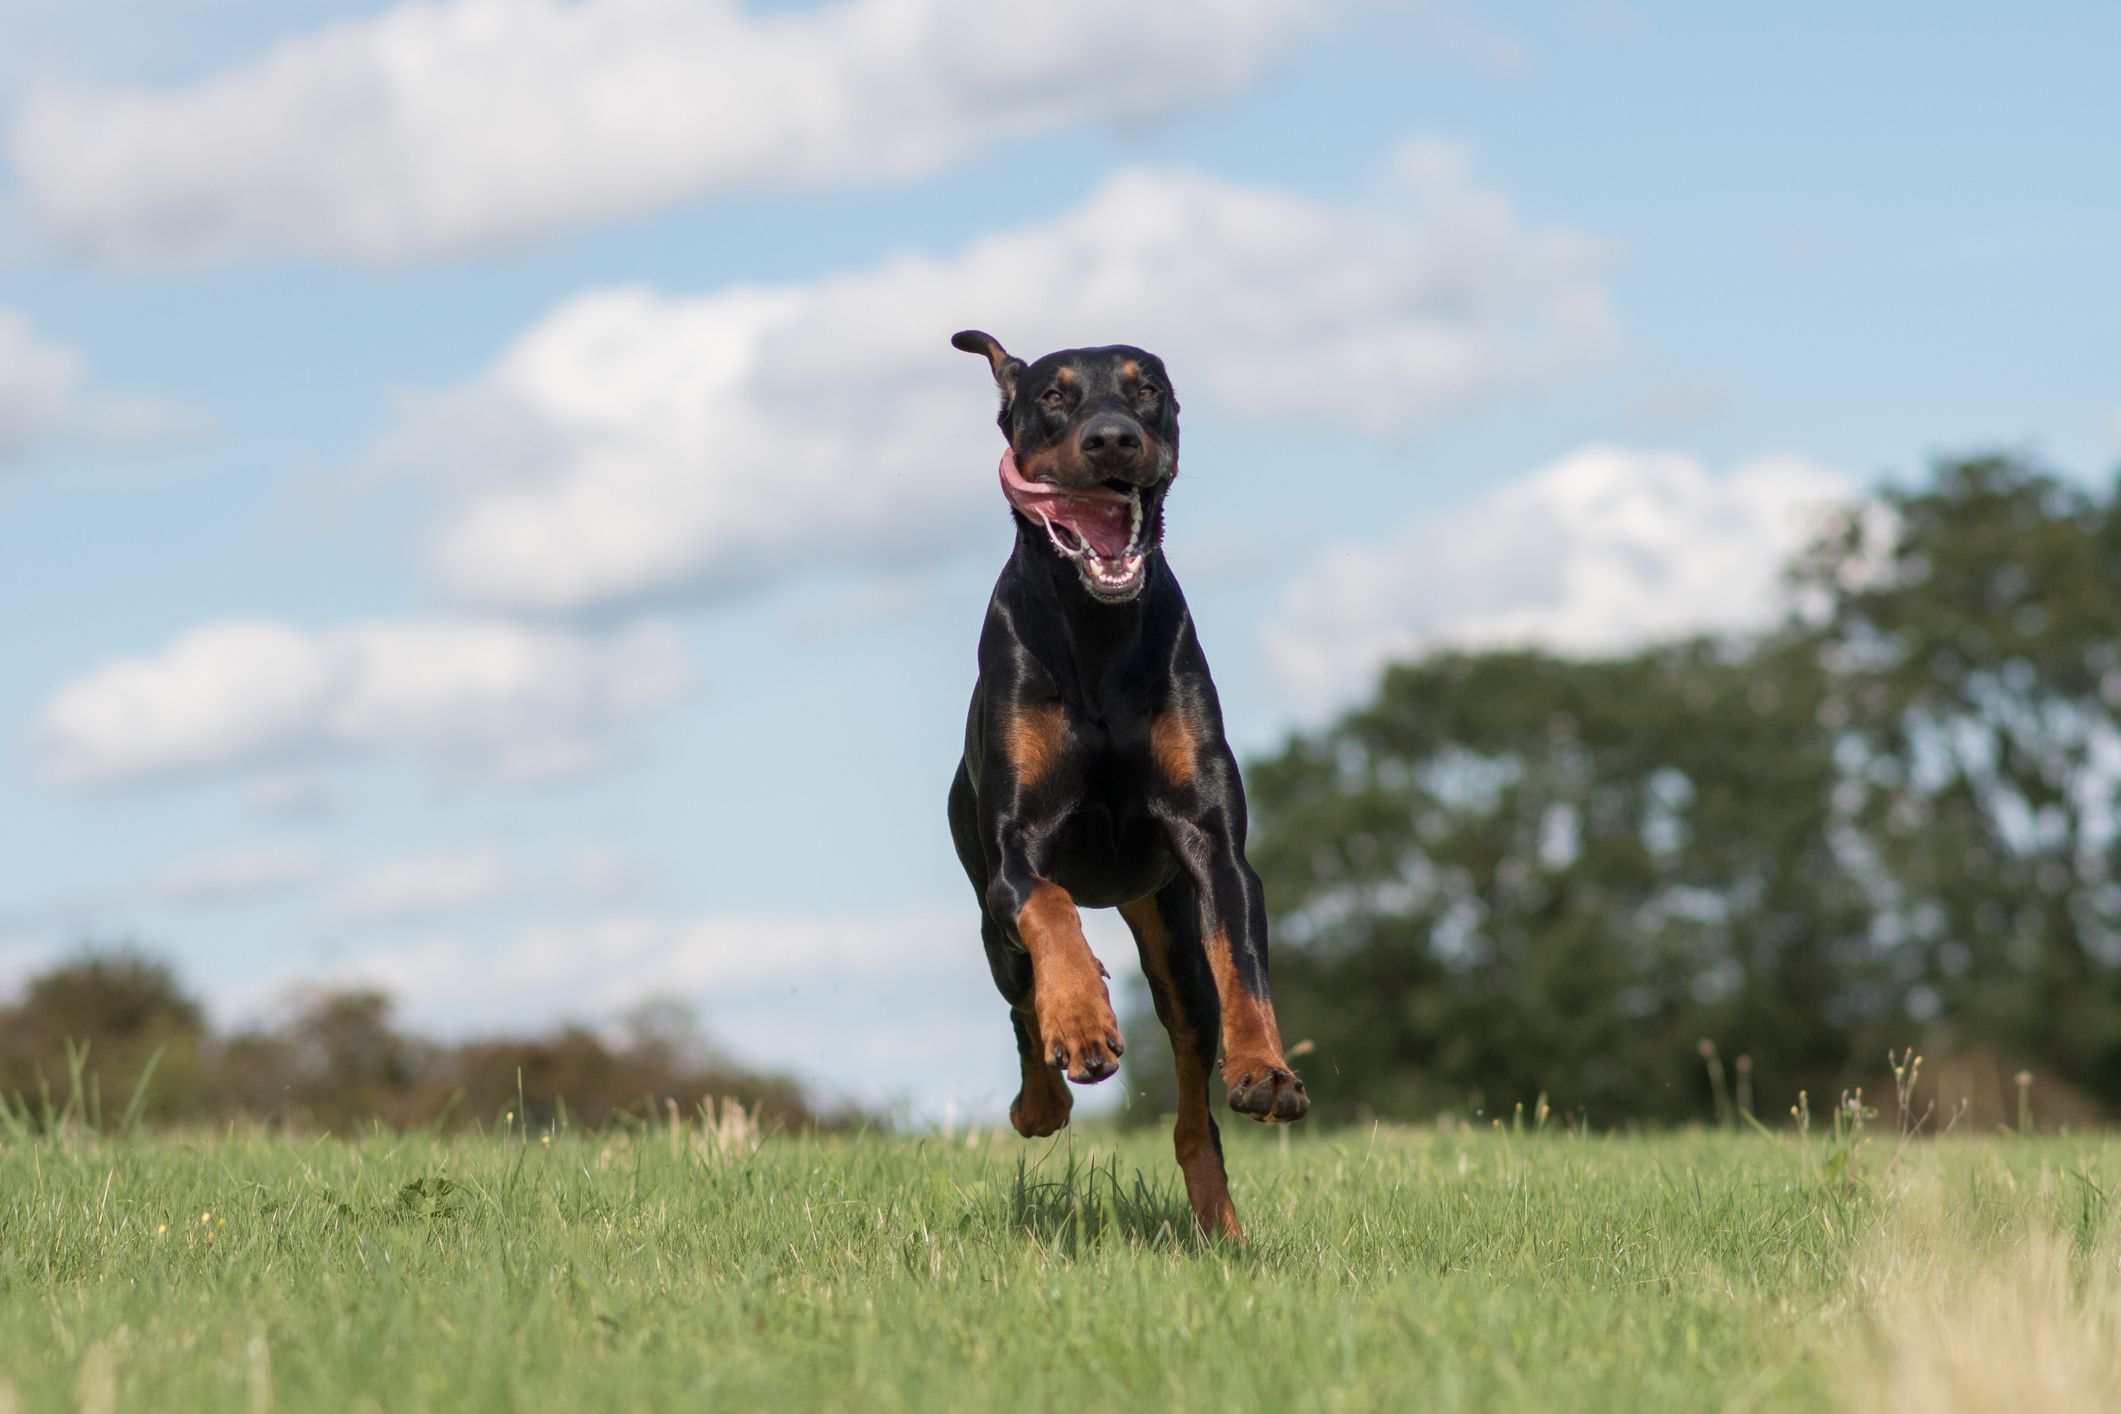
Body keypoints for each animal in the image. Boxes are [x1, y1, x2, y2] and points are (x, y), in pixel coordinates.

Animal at [950, 332, 1306, 1238]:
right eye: (1053, 396)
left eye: (1148, 390)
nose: (1112, 438)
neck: (1097, 622)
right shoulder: (1014, 851)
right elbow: (1048, 905)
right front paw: (1080, 1019)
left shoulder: (1213, 846)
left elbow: (1243, 962)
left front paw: (1265, 1067)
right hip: (990, 924)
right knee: (1021, 996)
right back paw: (1040, 1097)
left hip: (1170, 930)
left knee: (1191, 1101)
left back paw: (1220, 1223)